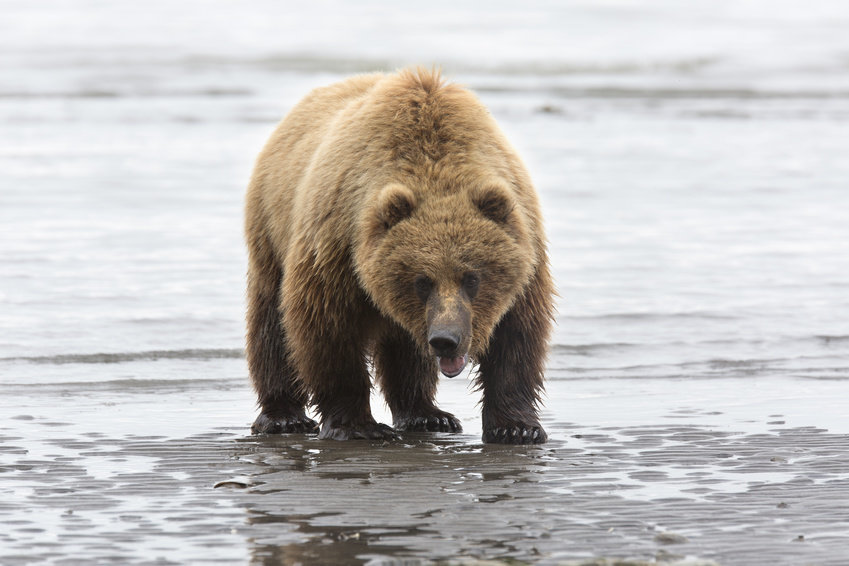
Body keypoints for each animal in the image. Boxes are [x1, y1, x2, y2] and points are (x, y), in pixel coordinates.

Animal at [245, 68, 554, 444]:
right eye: (422, 280)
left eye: (472, 278)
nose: (446, 340)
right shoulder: (339, 248)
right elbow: (327, 328)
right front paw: (357, 425)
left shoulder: (526, 250)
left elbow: (517, 335)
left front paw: (517, 427)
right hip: (271, 230)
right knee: (270, 324)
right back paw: (283, 417)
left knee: (404, 346)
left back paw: (427, 415)